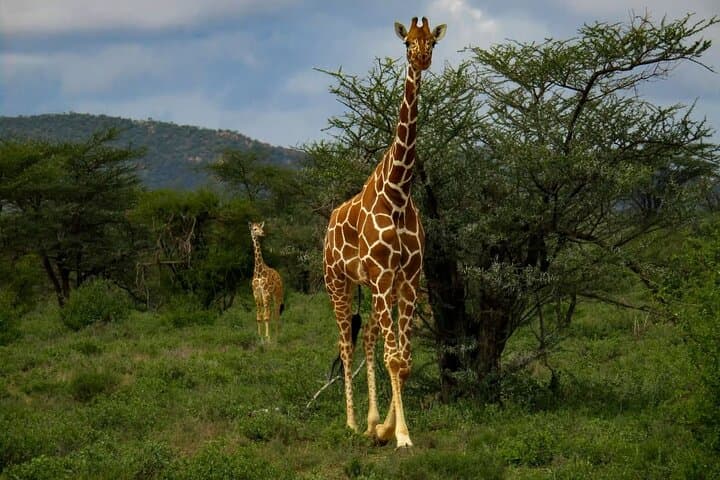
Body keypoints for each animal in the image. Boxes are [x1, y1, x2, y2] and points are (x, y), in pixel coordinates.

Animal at [323, 17, 446, 449]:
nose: (422, 59)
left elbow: (403, 360)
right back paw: (350, 422)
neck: (398, 190)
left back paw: (371, 421)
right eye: (407, 42)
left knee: (370, 341)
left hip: (374, 287)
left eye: (432, 42)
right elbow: (395, 357)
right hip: (338, 283)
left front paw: (388, 428)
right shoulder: (380, 275)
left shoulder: (407, 278)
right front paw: (402, 436)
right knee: (346, 344)